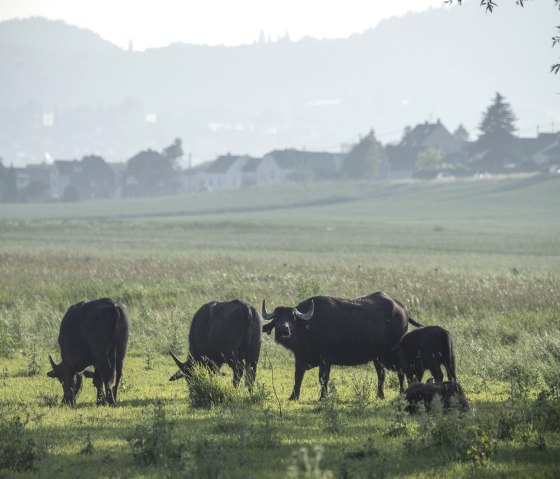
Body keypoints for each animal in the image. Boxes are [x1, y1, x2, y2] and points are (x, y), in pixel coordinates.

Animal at [262, 292, 420, 402]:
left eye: (292, 318)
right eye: (276, 318)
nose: (283, 330)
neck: (310, 327)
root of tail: (402, 308)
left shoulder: (325, 360)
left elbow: (323, 378)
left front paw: (323, 397)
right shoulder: (300, 358)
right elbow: (298, 377)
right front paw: (293, 396)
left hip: (394, 353)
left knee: (400, 372)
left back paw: (401, 392)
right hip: (377, 357)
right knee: (382, 373)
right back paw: (380, 395)